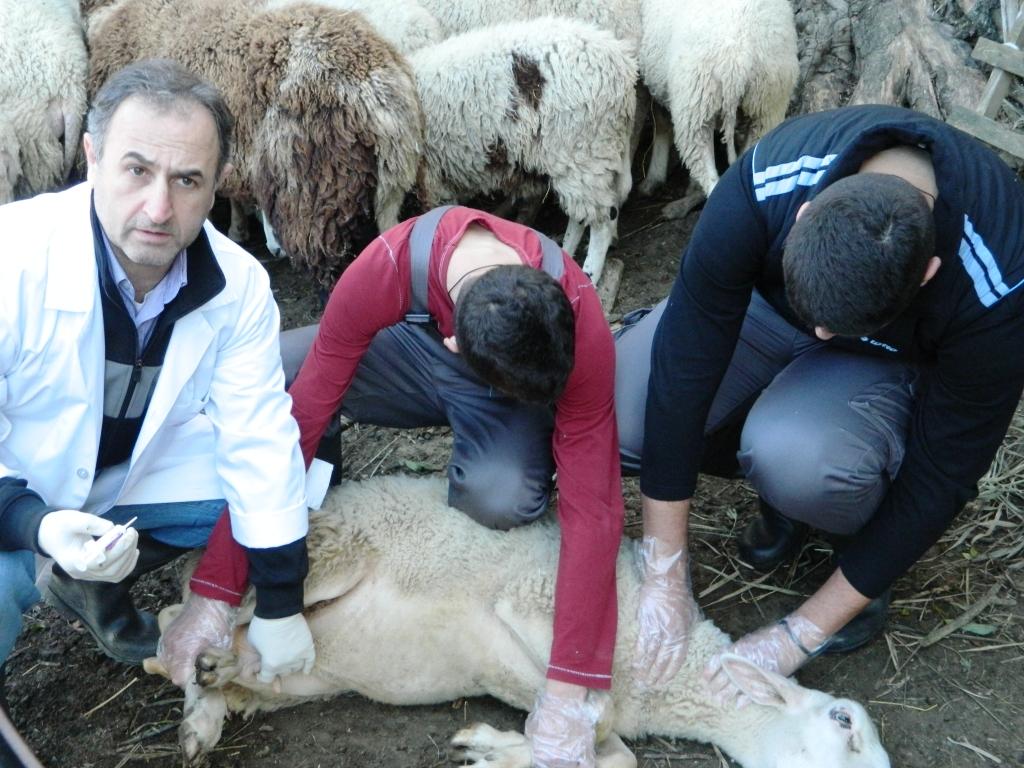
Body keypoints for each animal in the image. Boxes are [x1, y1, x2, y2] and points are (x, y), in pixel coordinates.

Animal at [147, 474, 892, 768]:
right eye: (844, 722)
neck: (666, 678)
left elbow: (610, 752)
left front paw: (495, 748)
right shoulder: (537, 602)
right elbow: (591, 717)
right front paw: (501, 742)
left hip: (310, 677)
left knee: (221, 654)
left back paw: (217, 692)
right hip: (328, 557)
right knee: (183, 614)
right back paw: (201, 685)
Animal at [409, 17, 637, 285]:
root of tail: (622, 66)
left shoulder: (433, 176)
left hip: (584, 151)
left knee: (602, 221)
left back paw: (589, 275)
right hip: (585, 159)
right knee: (582, 215)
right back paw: (565, 254)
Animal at [636, 0, 799, 198]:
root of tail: (739, 59)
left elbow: (661, 124)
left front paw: (653, 178)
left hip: (695, 101)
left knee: (706, 168)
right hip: (766, 104)